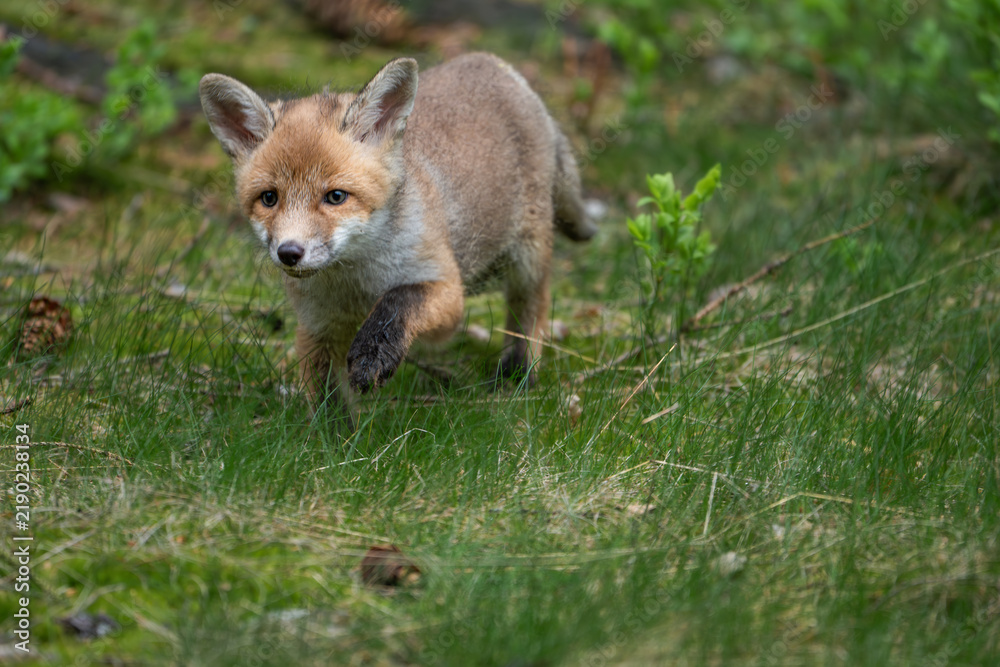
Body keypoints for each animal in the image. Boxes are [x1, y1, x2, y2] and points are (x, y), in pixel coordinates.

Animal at [199, 53, 596, 421]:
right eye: (269, 198)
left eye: (336, 197)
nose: (289, 253)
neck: (357, 283)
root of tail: (495, 63)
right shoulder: (317, 326)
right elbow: (328, 401)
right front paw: (336, 444)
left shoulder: (447, 292)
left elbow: (399, 302)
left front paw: (373, 355)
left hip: (528, 256)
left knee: (532, 309)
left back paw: (518, 373)